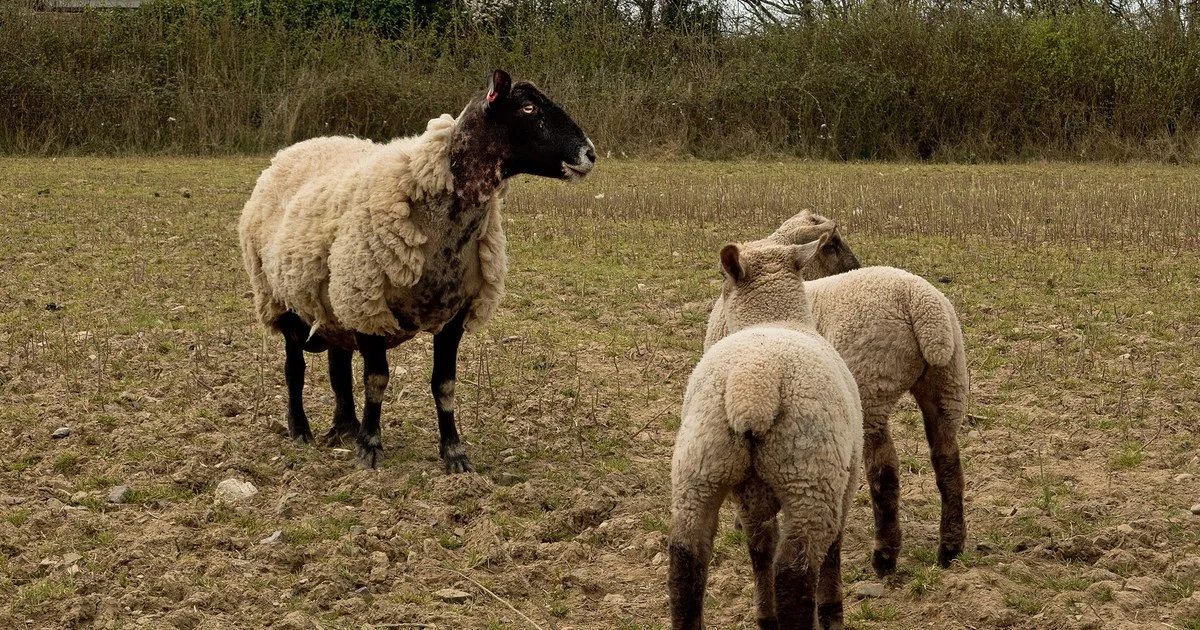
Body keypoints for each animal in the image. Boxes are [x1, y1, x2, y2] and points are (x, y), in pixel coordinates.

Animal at [238, 69, 595, 473]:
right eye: (528, 107)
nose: (590, 154)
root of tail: (290, 151)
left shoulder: (454, 313)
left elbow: (445, 386)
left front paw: (454, 453)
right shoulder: (369, 306)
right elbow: (376, 380)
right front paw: (370, 449)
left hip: (336, 304)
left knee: (338, 366)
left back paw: (346, 427)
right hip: (281, 300)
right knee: (295, 368)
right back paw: (301, 430)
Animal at [671, 234, 863, 630]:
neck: (775, 317)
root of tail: (752, 385)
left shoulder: (750, 497)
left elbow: (759, 550)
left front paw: (764, 614)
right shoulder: (847, 480)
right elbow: (834, 548)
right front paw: (833, 610)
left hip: (698, 469)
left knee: (686, 560)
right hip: (809, 477)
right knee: (795, 573)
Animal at [706, 211, 968, 576]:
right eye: (833, 245)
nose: (853, 266)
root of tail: (922, 307)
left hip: (870, 389)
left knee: (885, 470)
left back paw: (885, 556)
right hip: (947, 384)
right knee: (948, 461)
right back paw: (950, 549)